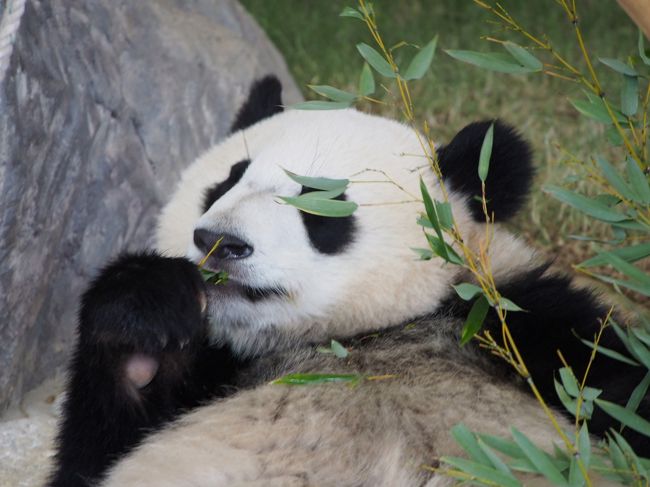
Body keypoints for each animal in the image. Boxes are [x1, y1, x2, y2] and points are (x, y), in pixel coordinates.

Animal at [48, 76, 644, 487]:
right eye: (226, 182)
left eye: (321, 202)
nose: (221, 241)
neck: (353, 338)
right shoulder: (212, 370)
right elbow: (91, 457)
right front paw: (146, 309)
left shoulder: (520, 324)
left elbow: (621, 388)